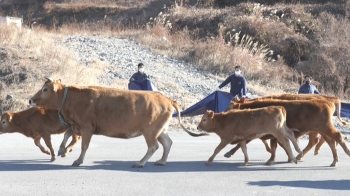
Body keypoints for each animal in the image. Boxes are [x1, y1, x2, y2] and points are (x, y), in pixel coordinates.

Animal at [29, 77, 208, 168]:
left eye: (45, 89)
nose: (31, 99)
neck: (75, 99)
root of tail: (167, 99)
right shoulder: (77, 125)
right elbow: (67, 134)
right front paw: (61, 150)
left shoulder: (87, 127)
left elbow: (83, 145)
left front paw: (78, 160)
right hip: (160, 130)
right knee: (167, 143)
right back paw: (162, 161)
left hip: (150, 131)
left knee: (154, 146)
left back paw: (140, 163)